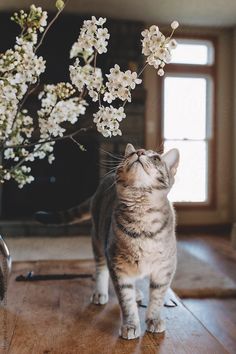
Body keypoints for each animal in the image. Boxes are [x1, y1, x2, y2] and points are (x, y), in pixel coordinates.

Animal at [35, 144, 179, 340]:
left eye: (156, 158)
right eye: (131, 154)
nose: (139, 152)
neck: (142, 219)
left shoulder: (165, 267)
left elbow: (157, 296)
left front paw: (154, 319)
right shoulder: (117, 264)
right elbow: (125, 300)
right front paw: (130, 325)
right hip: (98, 240)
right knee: (101, 270)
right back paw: (100, 292)